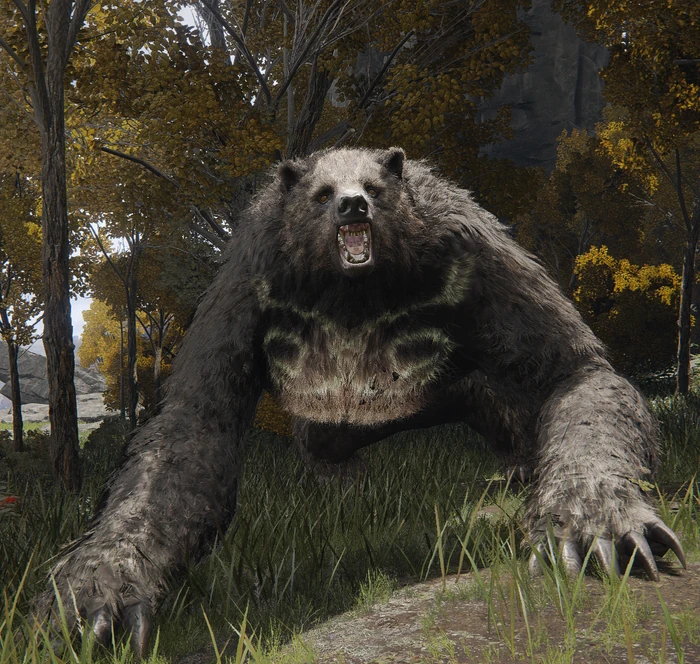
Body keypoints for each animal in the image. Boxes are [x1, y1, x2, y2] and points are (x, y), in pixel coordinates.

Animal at [38, 147, 685, 658]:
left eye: (374, 187)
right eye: (322, 193)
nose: (353, 205)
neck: (353, 289)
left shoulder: (476, 251)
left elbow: (574, 373)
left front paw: (596, 525)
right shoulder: (248, 275)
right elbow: (193, 427)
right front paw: (96, 590)